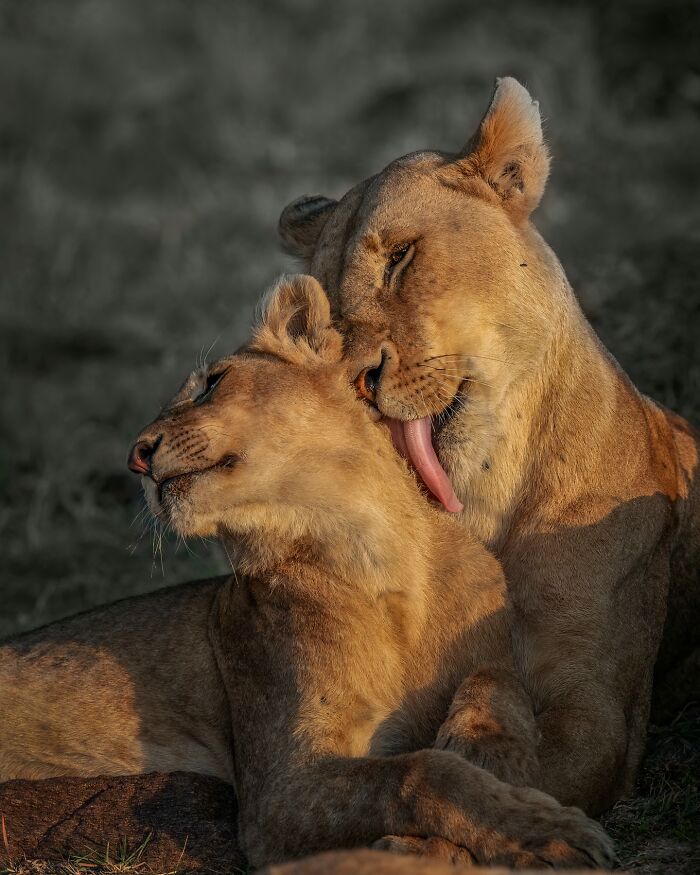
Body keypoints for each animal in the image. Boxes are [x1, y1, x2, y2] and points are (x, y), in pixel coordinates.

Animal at [0, 275, 614, 869]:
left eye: (210, 384)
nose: (135, 456)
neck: (379, 560)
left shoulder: (496, 652)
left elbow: (495, 682)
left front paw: (490, 753)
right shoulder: (276, 795)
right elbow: (421, 772)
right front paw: (545, 833)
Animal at [277, 77, 700, 816]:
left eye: (401, 259)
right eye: (322, 309)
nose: (351, 380)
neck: (483, 495)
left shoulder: (600, 708)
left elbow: (523, 757)